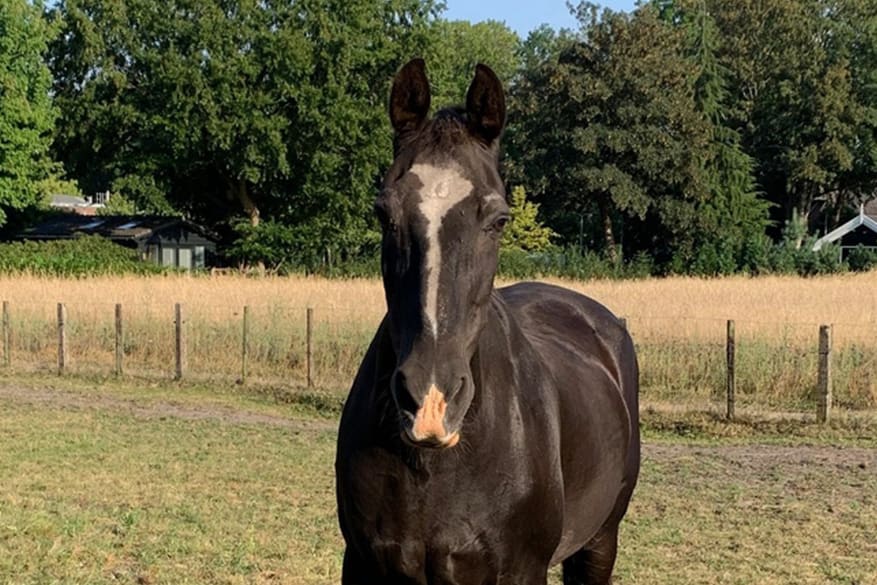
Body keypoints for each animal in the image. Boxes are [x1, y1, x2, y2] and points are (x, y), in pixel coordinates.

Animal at [335, 59, 640, 585]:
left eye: (498, 219)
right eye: (383, 214)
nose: (431, 401)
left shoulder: (522, 570)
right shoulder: (361, 564)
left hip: (600, 542)